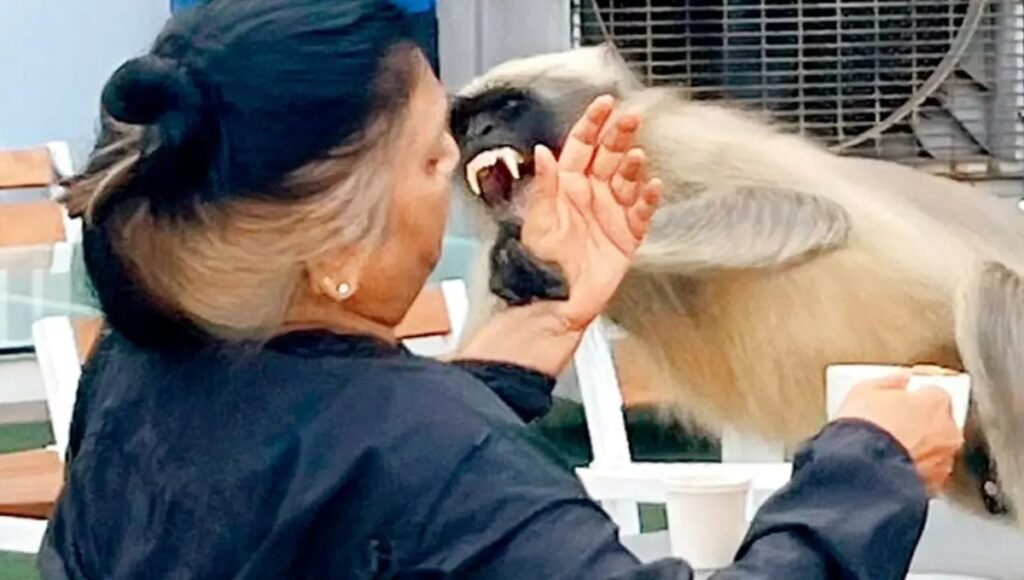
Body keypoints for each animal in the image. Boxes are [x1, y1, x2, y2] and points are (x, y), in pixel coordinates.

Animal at [447, 43, 1024, 529]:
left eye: (509, 106)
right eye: (465, 121)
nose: (480, 132)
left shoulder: (668, 142)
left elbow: (811, 212)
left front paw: (584, 239)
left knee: (988, 290)